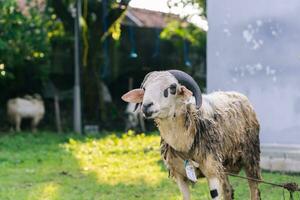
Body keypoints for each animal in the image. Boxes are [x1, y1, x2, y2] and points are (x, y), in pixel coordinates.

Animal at [121, 70, 260, 200]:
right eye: (144, 88)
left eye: (172, 87)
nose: (146, 106)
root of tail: (239, 95)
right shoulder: (180, 175)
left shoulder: (212, 172)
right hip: (221, 166)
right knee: (228, 191)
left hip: (250, 158)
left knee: (254, 191)